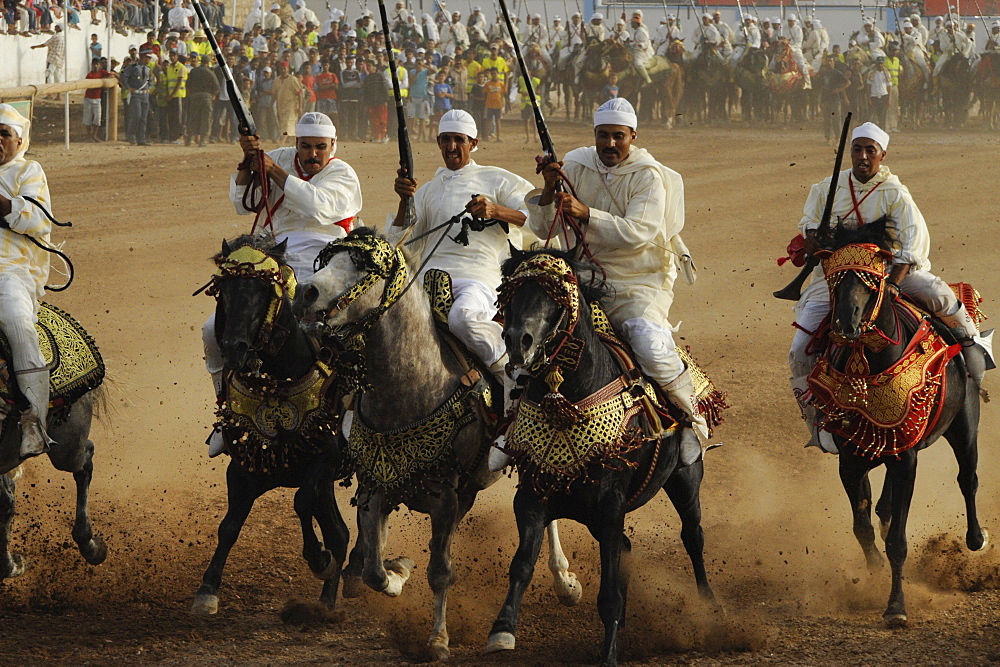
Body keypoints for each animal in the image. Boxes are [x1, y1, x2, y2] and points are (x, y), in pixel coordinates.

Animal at [191, 237, 352, 620]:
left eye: (265, 290)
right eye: (224, 291)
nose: (234, 347)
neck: (276, 384)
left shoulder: (324, 460)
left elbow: (301, 501)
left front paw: (317, 558)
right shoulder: (242, 470)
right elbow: (229, 526)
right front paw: (207, 590)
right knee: (339, 532)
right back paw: (325, 602)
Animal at [292, 231, 584, 664]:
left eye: (364, 266)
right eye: (328, 259)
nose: (305, 293)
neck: (411, 386)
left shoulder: (447, 495)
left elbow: (440, 571)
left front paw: (437, 640)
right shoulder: (376, 485)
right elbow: (374, 570)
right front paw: (397, 572)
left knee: (547, 517)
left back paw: (565, 580)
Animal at [484, 248, 720, 664]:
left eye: (556, 294)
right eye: (510, 291)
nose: (518, 342)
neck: (568, 402)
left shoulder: (610, 505)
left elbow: (608, 589)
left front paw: (608, 653)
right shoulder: (531, 499)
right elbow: (522, 564)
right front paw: (502, 630)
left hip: (684, 481)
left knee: (693, 536)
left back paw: (708, 605)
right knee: (628, 548)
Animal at [808, 218, 988, 628]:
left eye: (871, 280)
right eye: (835, 278)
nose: (845, 324)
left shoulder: (907, 459)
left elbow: (898, 542)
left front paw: (896, 607)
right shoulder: (852, 459)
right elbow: (862, 526)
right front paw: (874, 574)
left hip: (964, 426)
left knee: (967, 478)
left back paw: (976, 538)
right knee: (884, 508)